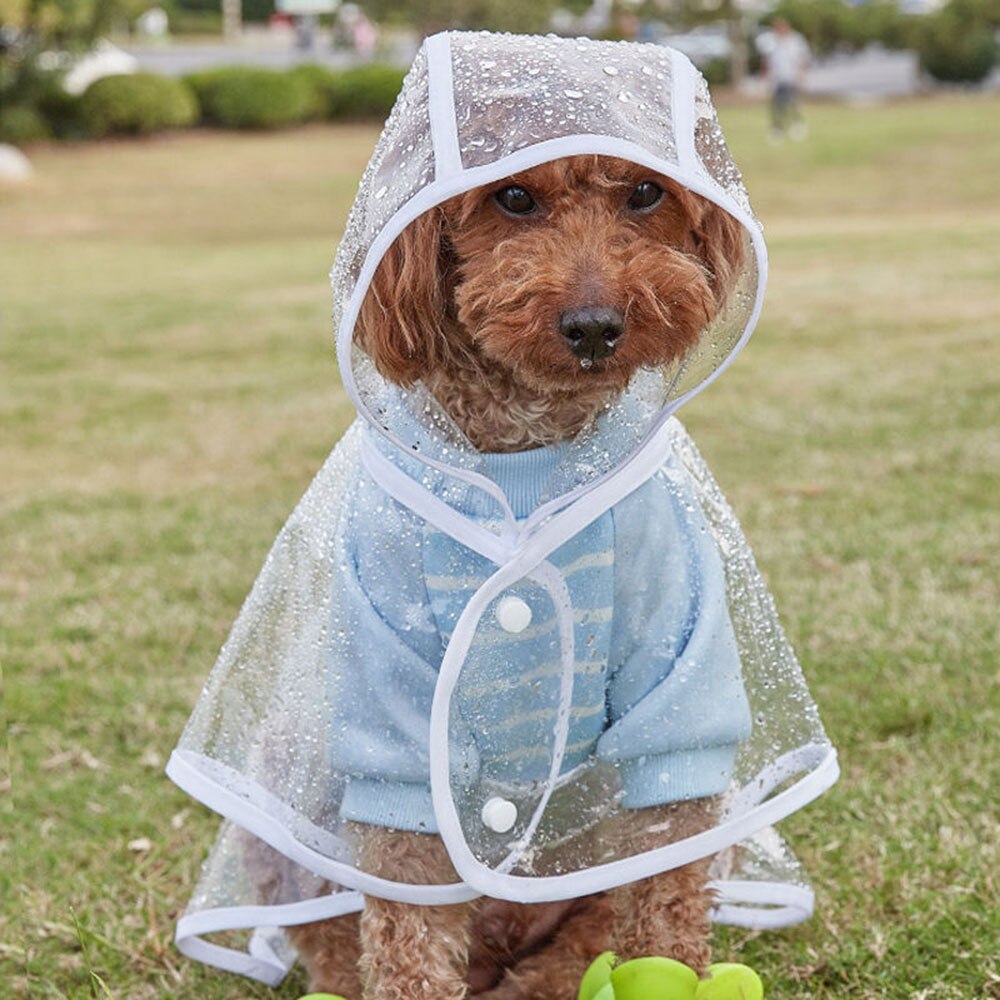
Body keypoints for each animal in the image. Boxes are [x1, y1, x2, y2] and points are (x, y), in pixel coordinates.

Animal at [286, 152, 748, 996]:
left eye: (646, 192)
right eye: (512, 197)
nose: (595, 325)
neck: (529, 453)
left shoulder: (674, 666)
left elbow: (668, 886)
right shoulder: (397, 717)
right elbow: (406, 935)